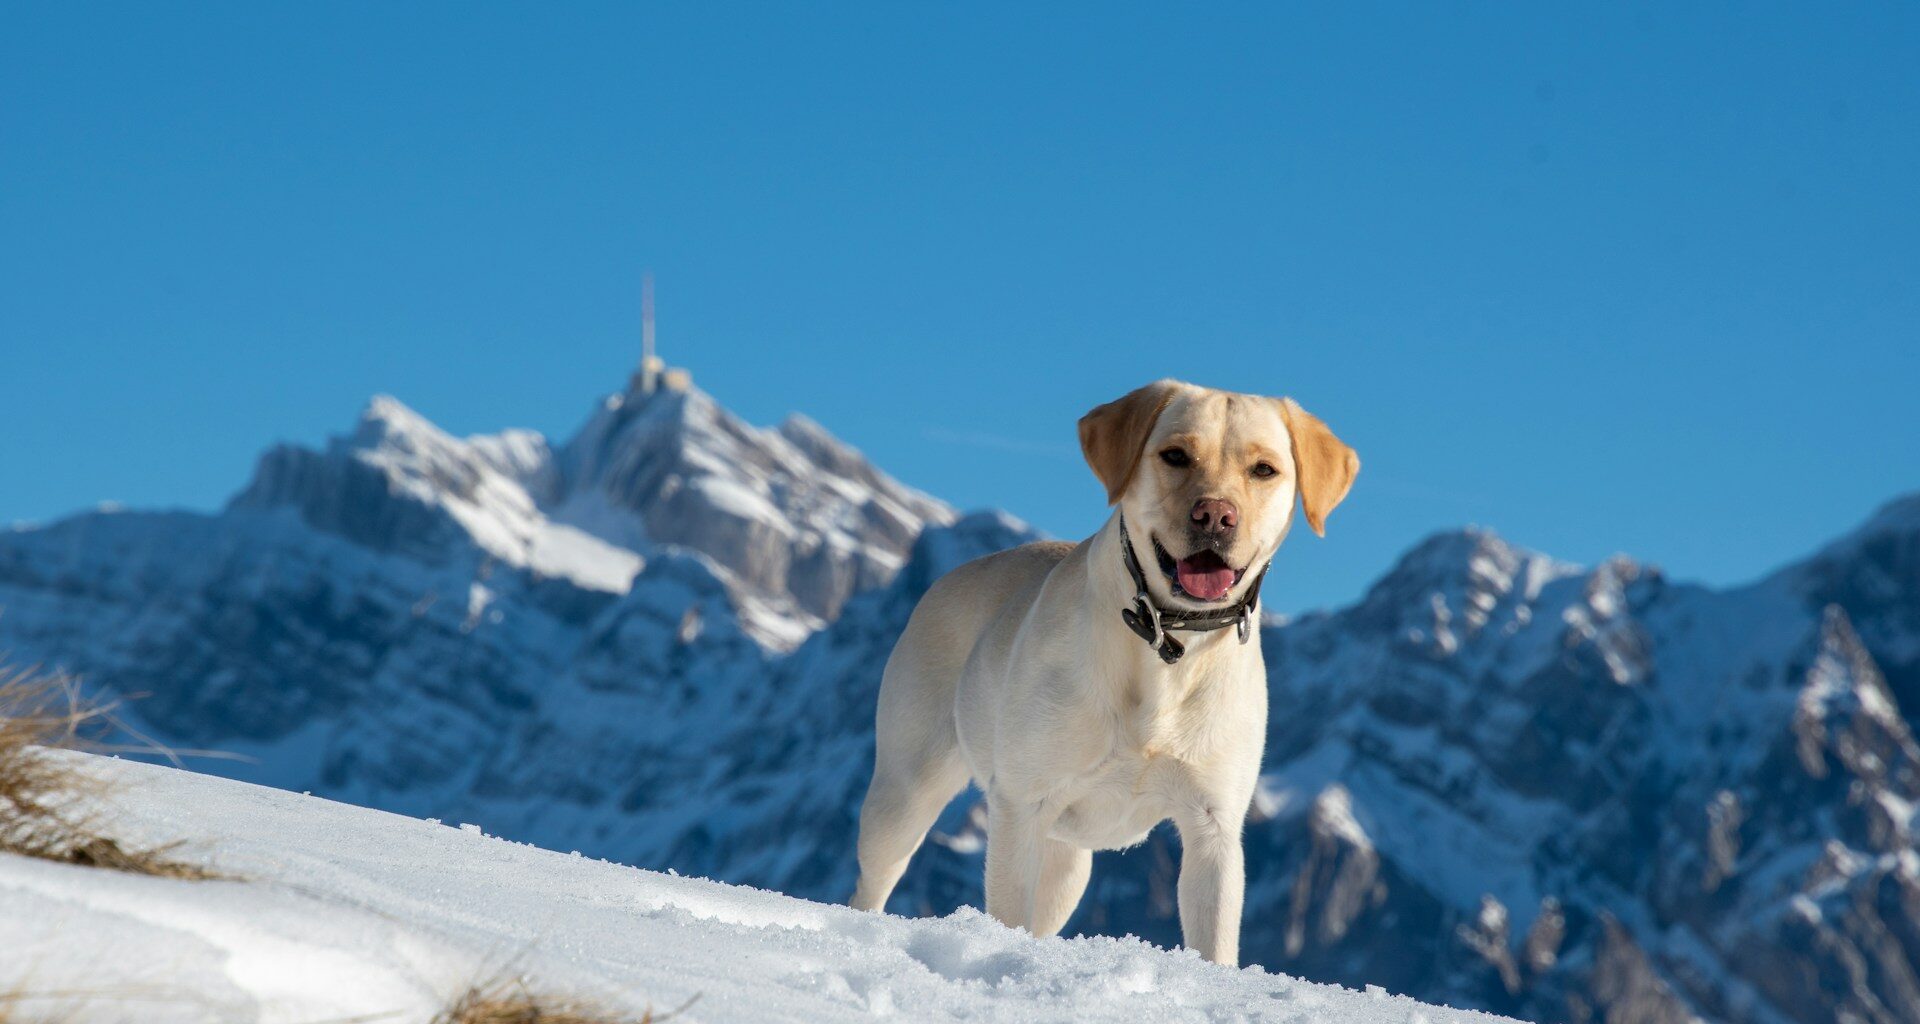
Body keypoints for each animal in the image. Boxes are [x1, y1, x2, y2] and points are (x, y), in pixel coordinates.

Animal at [848, 378, 1359, 960]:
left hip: (1065, 865)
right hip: (905, 794)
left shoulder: (1214, 828)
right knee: (873, 883)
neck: (1168, 643)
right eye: (1176, 456)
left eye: (1264, 469)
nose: (1215, 515)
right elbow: (1005, 913)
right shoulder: (1021, 803)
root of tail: (946, 579)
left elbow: (1214, 944)